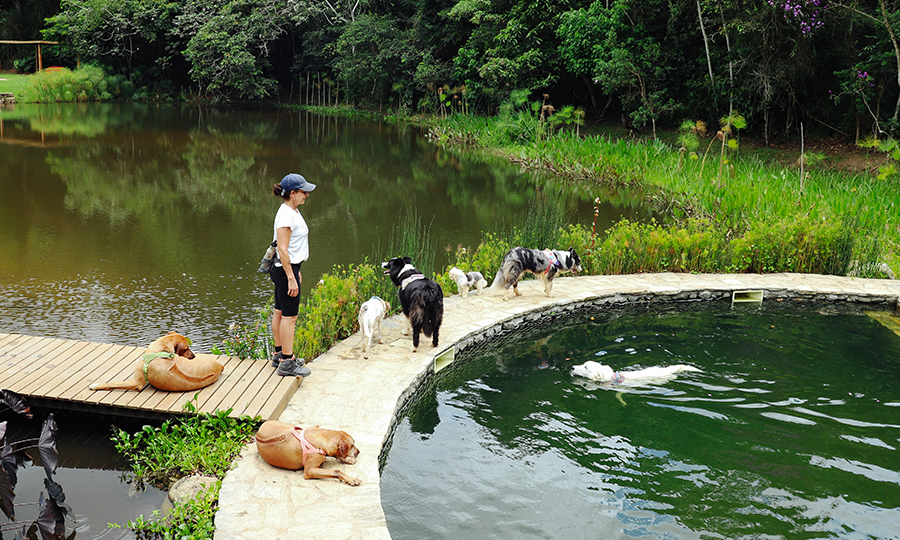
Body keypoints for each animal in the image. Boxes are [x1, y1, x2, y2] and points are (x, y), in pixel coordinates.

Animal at [90, 330, 225, 392]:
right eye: (187, 348)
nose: (193, 356)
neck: (161, 350)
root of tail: (220, 366)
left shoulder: (136, 382)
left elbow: (112, 383)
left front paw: (95, 385)